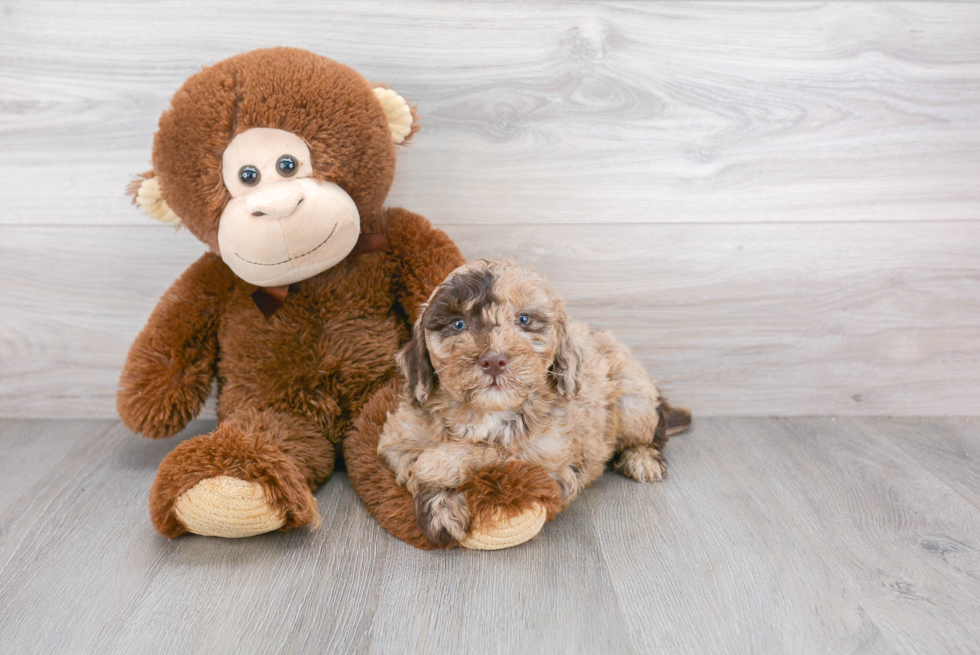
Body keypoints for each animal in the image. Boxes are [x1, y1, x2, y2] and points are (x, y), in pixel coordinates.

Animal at [376, 258, 688, 544]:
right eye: (458, 324)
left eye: (524, 319)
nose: (493, 361)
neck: (485, 412)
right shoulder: (398, 438)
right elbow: (410, 464)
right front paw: (441, 508)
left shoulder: (549, 464)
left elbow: (498, 452)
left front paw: (439, 461)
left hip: (633, 400)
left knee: (652, 431)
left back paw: (643, 458)